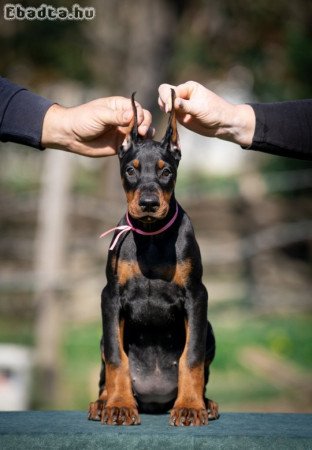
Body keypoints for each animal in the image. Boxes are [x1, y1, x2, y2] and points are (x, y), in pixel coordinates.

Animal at [88, 90, 219, 426]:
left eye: (166, 171)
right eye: (131, 170)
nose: (148, 203)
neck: (150, 235)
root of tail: (155, 399)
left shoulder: (196, 295)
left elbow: (191, 356)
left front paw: (190, 407)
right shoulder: (111, 296)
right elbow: (116, 356)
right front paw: (119, 406)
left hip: (209, 329)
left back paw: (205, 402)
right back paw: (103, 402)